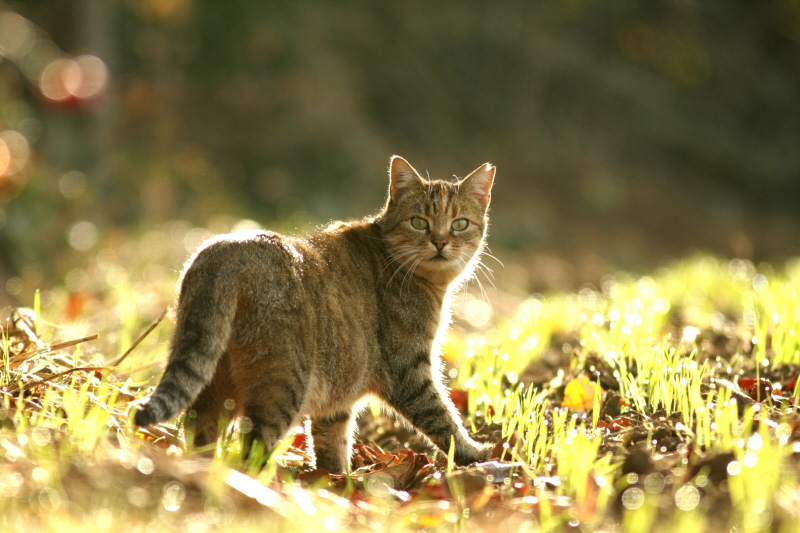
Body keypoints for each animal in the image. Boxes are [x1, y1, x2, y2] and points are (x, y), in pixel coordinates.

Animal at [134, 156, 496, 472]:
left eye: (460, 224)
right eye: (419, 222)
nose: (440, 242)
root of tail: (227, 248)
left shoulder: (340, 392)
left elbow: (331, 442)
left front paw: (336, 480)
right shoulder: (409, 370)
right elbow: (443, 419)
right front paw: (475, 453)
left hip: (213, 379)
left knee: (198, 432)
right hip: (283, 384)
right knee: (253, 446)